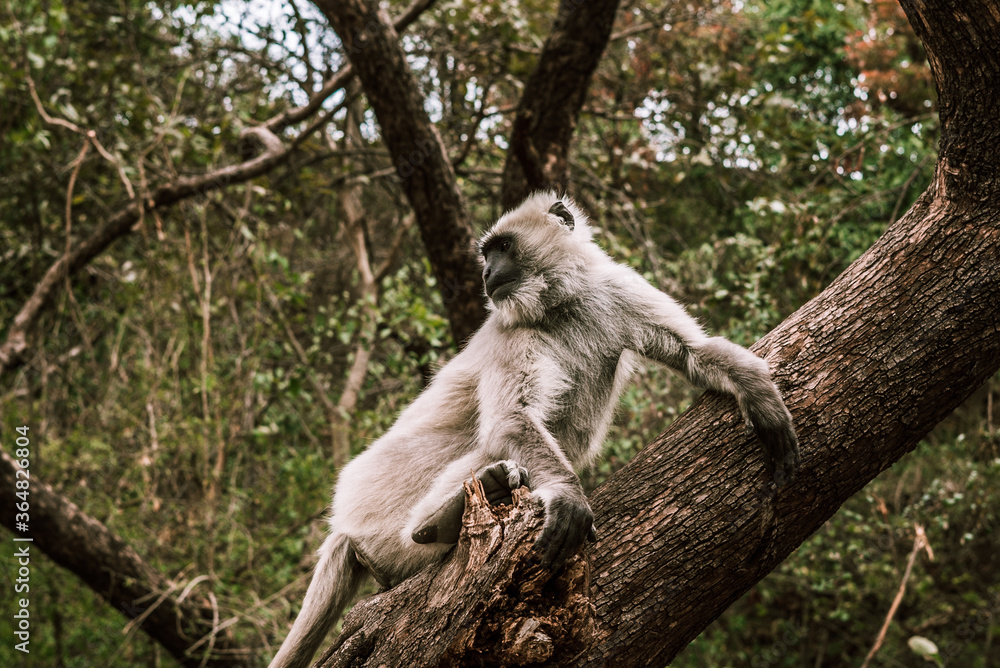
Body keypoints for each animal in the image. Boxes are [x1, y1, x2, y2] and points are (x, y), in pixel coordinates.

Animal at [268, 192, 799, 668]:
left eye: (501, 248)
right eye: (487, 254)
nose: (486, 273)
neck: (560, 302)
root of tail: (346, 525)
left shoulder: (614, 287)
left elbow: (694, 350)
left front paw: (757, 392)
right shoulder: (512, 331)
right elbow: (511, 420)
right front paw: (567, 493)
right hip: (379, 515)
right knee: (487, 450)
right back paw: (444, 515)